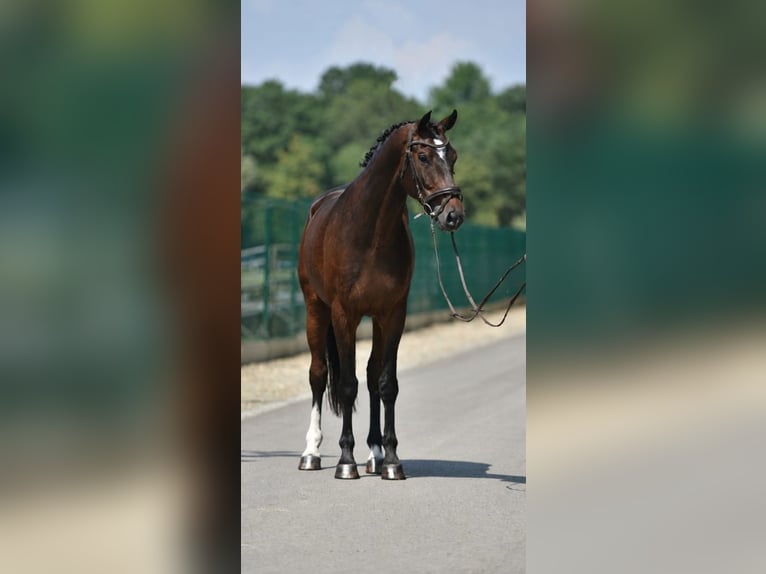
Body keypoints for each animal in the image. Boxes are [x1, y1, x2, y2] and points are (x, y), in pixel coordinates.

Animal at [296, 110, 464, 480]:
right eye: (423, 156)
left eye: (453, 156)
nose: (453, 215)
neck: (370, 231)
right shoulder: (344, 314)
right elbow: (347, 384)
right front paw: (346, 461)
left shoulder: (392, 314)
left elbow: (386, 383)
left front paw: (390, 459)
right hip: (316, 309)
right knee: (318, 374)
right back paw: (311, 452)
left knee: (372, 376)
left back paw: (373, 454)